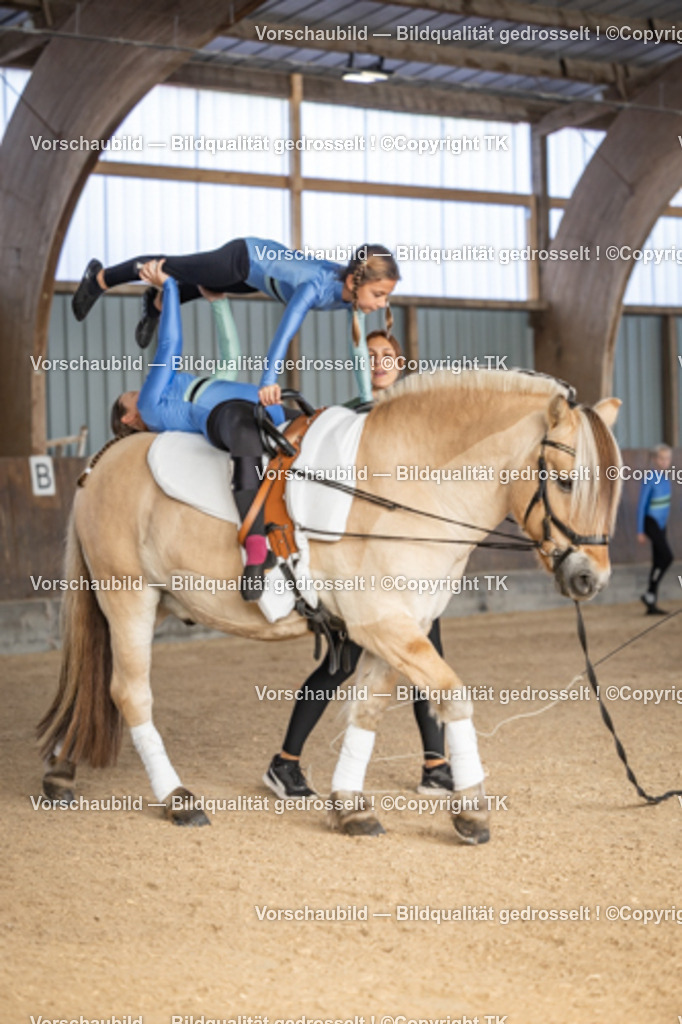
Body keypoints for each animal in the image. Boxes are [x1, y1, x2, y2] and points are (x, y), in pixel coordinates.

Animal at [37, 369, 622, 842]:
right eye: (565, 480)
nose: (590, 578)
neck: (404, 490)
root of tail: (99, 464)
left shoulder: (398, 628)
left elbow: (368, 709)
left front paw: (351, 806)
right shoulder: (384, 624)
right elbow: (453, 696)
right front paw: (472, 810)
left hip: (147, 602)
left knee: (97, 683)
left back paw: (62, 771)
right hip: (128, 595)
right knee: (130, 692)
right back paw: (176, 799)